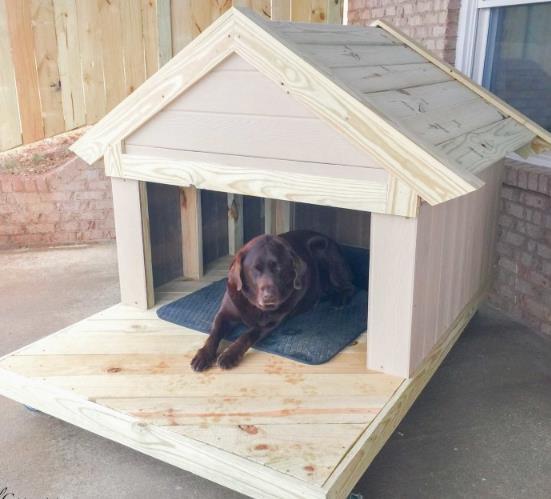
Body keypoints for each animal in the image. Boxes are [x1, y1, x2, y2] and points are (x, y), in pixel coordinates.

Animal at [191, 230, 354, 372]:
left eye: (278, 268)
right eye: (255, 269)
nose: (269, 296)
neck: (253, 304)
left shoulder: (269, 323)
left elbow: (246, 335)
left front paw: (230, 355)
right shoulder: (224, 314)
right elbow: (214, 333)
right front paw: (203, 355)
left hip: (323, 249)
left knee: (350, 286)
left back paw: (339, 299)